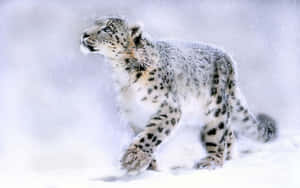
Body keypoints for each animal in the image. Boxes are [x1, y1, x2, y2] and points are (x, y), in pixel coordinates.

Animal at [79, 16, 276, 174]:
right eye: (93, 23)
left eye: (107, 28)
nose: (84, 34)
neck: (122, 74)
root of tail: (228, 58)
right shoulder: (134, 114)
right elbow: (143, 134)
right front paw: (150, 167)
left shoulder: (169, 108)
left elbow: (151, 134)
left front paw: (133, 159)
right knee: (229, 133)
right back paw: (229, 157)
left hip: (216, 109)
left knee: (218, 134)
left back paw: (212, 161)